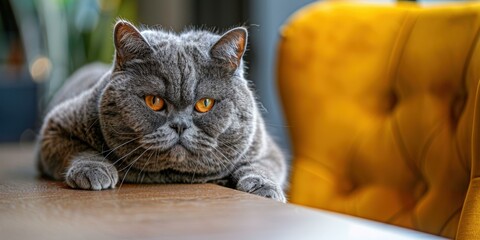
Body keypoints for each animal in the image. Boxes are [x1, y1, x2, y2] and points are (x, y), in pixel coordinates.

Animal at [37, 19, 286, 202]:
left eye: (205, 103)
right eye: (154, 101)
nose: (180, 125)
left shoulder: (267, 148)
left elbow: (264, 165)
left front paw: (264, 187)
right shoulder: (55, 126)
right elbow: (79, 148)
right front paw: (93, 170)